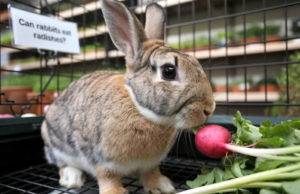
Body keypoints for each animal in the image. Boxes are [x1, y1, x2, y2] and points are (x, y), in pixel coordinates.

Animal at [41, 0, 216, 194]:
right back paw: (72, 179)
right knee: (63, 164)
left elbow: (150, 173)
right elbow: (107, 177)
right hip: (56, 145)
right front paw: (115, 192)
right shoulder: (101, 159)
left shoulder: (150, 163)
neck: (140, 110)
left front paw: (162, 187)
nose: (209, 109)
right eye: (169, 71)